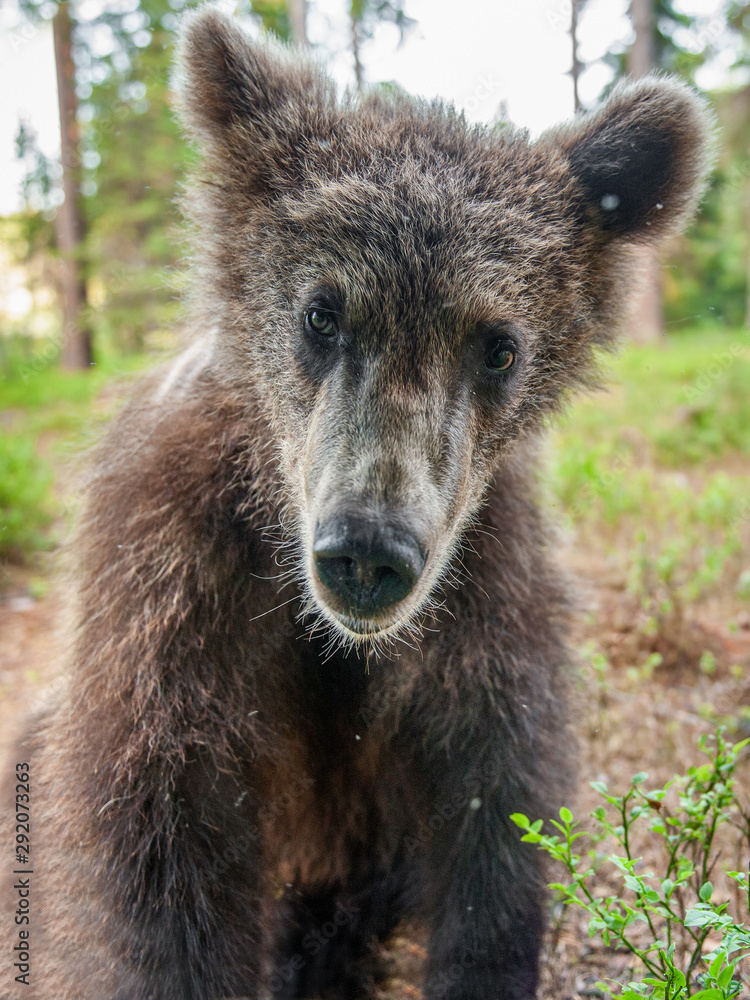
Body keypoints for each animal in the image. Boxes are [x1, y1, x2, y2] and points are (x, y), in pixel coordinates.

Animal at [9, 8, 712, 1000]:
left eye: (498, 346)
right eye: (321, 312)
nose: (370, 551)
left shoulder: (484, 587)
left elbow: (493, 818)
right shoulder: (174, 581)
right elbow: (165, 853)